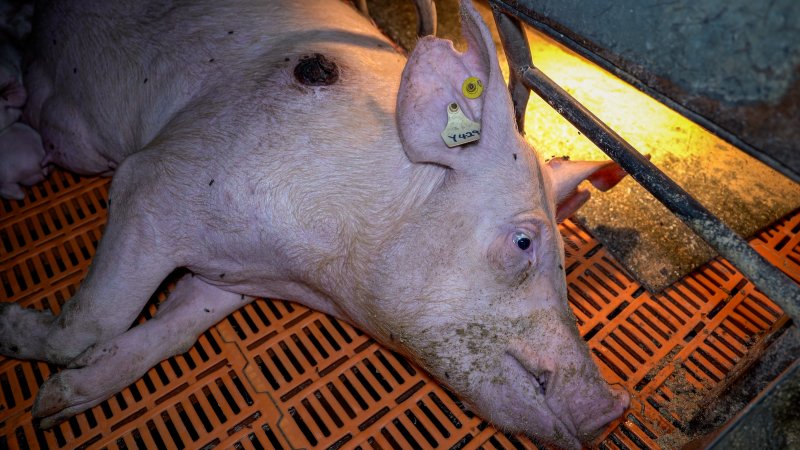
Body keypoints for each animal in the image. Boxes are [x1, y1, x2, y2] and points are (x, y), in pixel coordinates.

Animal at [0, 0, 632, 446]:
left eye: (564, 263)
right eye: (524, 242)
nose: (613, 408)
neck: (315, 274)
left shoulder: (230, 277)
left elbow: (178, 328)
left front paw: (55, 402)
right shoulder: (159, 182)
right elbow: (94, 322)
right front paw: (14, 338)